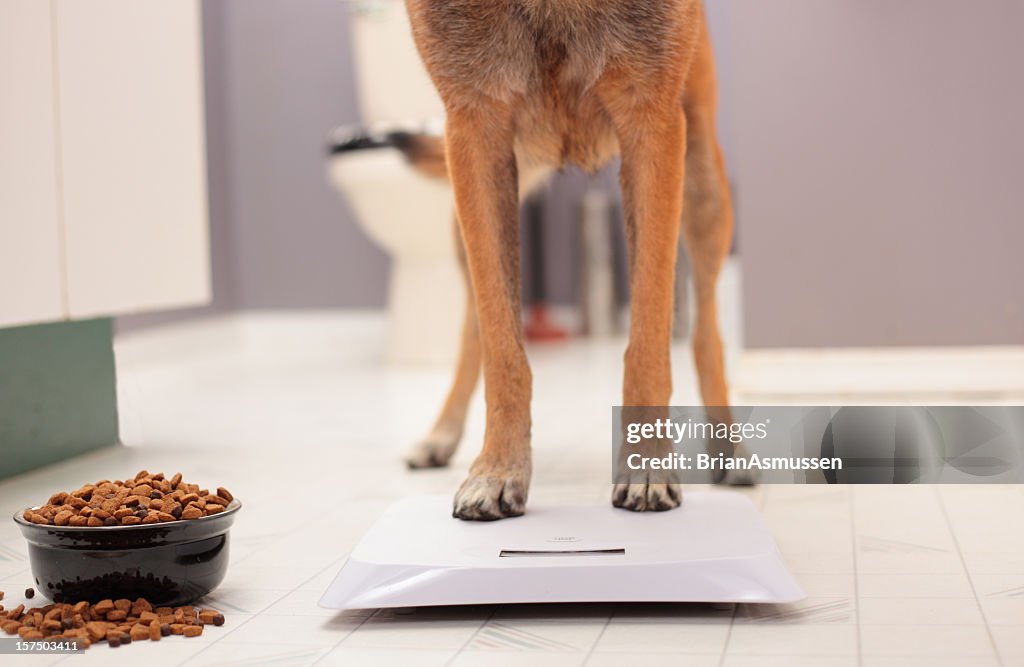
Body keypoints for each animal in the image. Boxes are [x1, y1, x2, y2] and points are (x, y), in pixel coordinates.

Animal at [401, 0, 737, 522]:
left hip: (703, 187)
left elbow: (648, 339)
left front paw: (646, 465)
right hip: (465, 218)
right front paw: (497, 469)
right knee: (474, 330)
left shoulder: (652, 125)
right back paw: (442, 434)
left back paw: (731, 452)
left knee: (707, 332)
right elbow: (501, 348)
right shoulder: (475, 131)